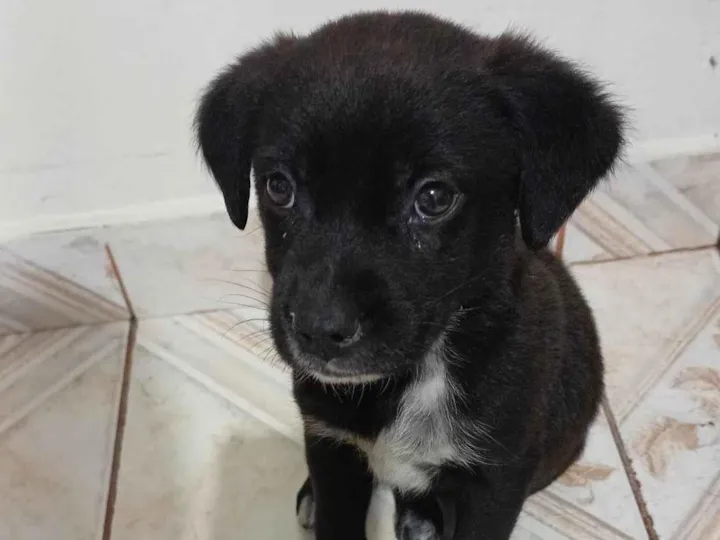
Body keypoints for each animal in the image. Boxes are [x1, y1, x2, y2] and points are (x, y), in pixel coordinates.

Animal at [195, 11, 624, 540]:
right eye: (278, 187)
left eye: (434, 198)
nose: (318, 330)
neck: (417, 375)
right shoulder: (331, 444)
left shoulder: (495, 481)